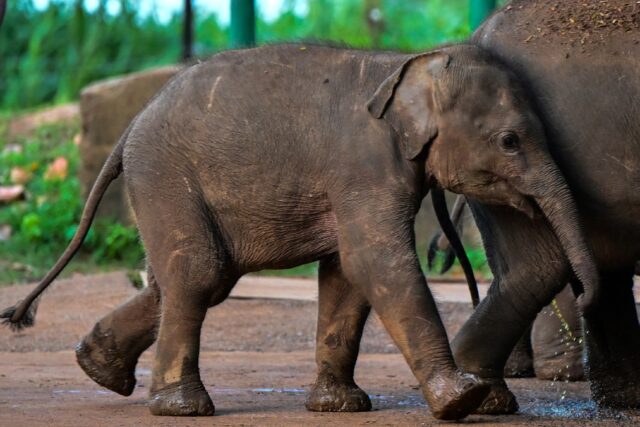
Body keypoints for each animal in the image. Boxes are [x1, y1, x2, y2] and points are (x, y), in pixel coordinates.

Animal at [1, 43, 599, 420]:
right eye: (509, 142)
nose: (589, 295)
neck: (412, 64)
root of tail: (132, 125)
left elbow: (347, 275)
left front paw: (340, 407)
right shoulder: (363, 166)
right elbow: (375, 262)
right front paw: (460, 403)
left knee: (198, 277)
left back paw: (97, 368)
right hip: (165, 175)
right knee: (199, 274)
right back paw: (182, 408)